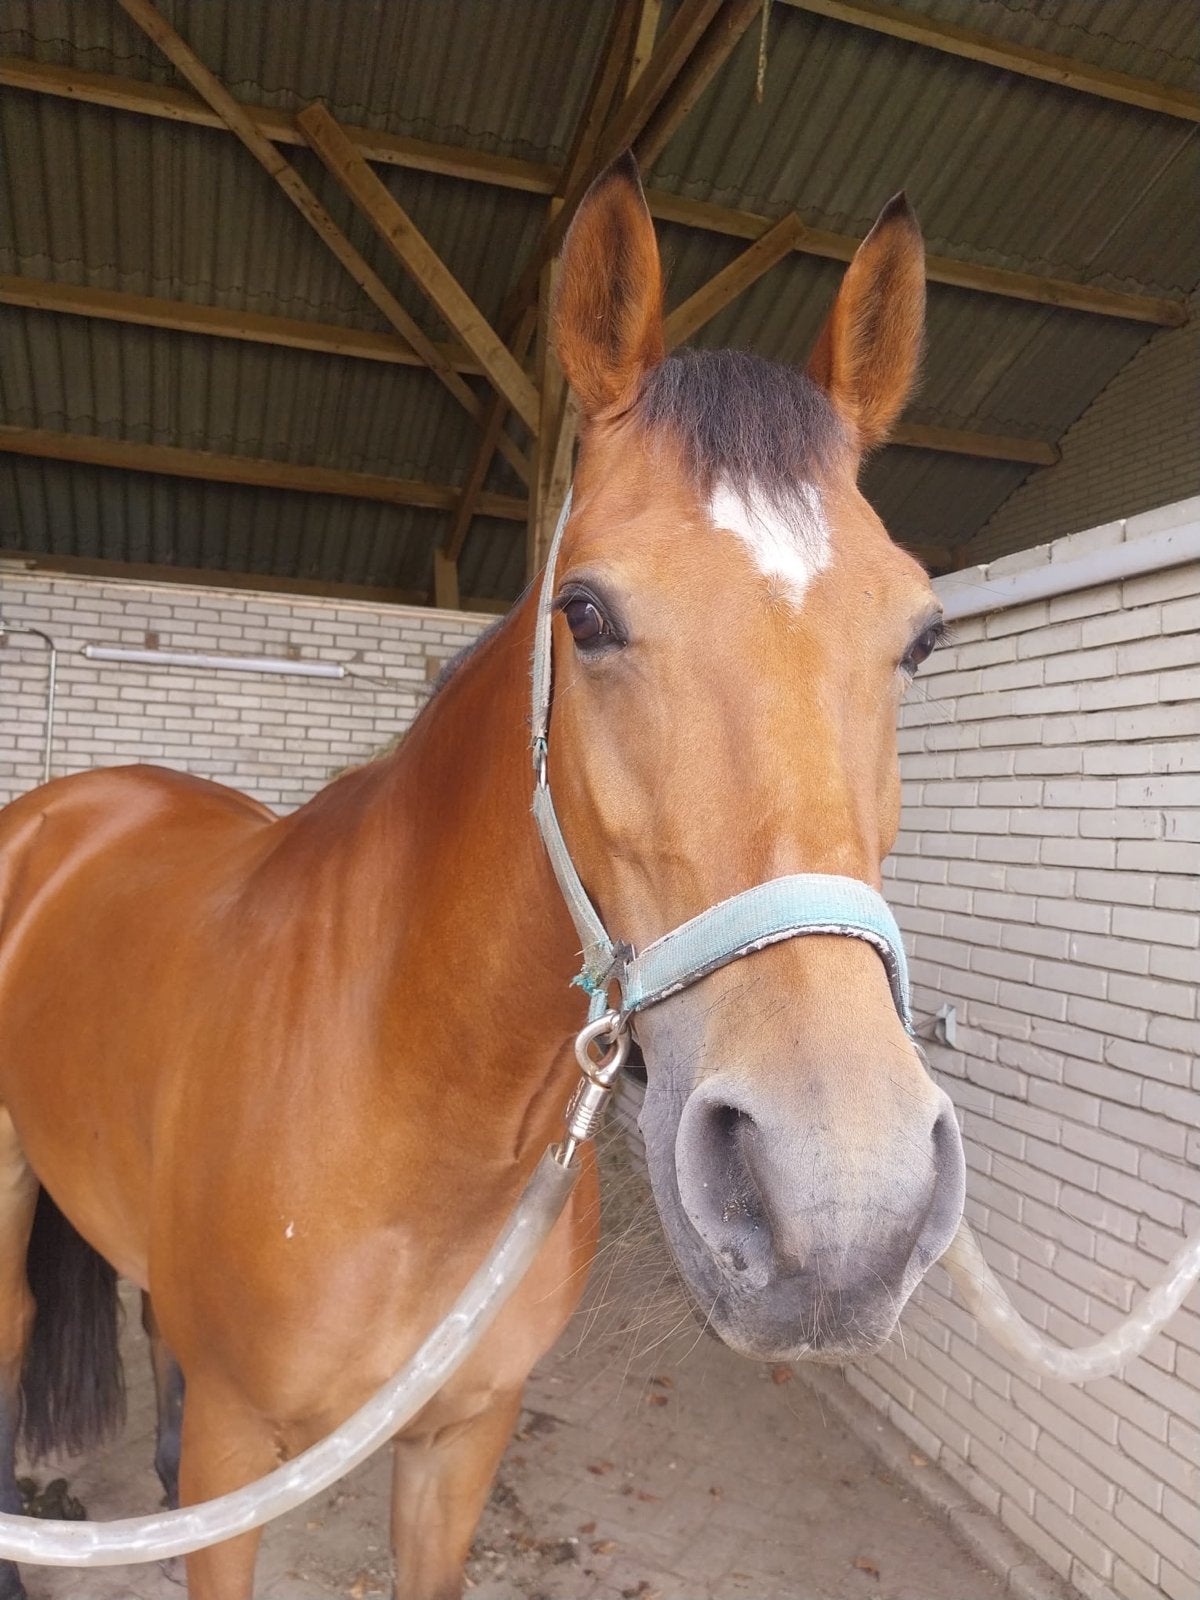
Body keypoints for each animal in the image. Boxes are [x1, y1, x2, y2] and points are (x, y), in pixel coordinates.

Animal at [0, 151, 964, 1600]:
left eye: (919, 636)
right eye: (586, 612)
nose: (842, 1202)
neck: (403, 1107)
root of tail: (71, 805)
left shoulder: (461, 1441)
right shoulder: (237, 1455)